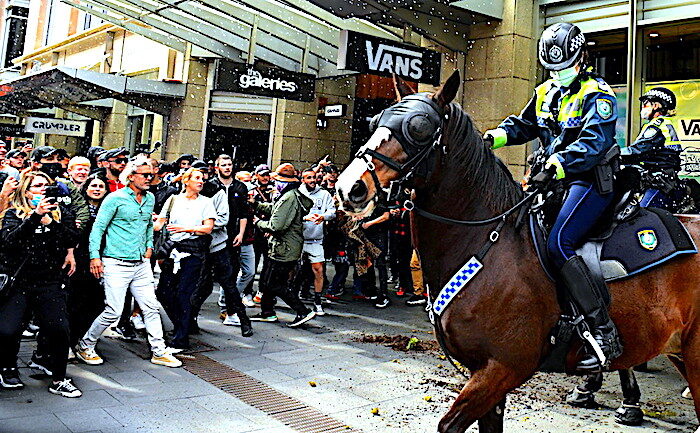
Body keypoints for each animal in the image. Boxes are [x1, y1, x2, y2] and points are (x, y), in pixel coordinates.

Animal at [334, 69, 700, 430]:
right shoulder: (487, 376)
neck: (487, 243)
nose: (349, 188)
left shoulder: (502, 368)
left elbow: (449, 424)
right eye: (375, 121)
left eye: (419, 128)